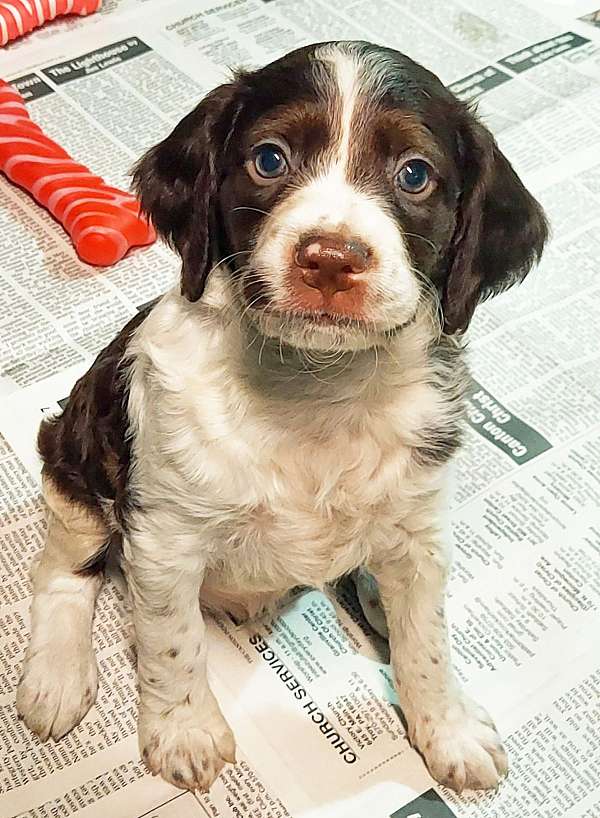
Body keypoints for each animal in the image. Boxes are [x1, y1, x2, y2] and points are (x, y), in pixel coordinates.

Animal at [16, 39, 548, 792]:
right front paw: (185, 731)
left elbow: (428, 640)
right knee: (64, 570)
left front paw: (448, 727)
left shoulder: (419, 533)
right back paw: (56, 678)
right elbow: (173, 643)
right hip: (77, 456)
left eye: (414, 175)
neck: (314, 388)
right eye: (270, 159)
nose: (330, 260)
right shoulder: (165, 537)